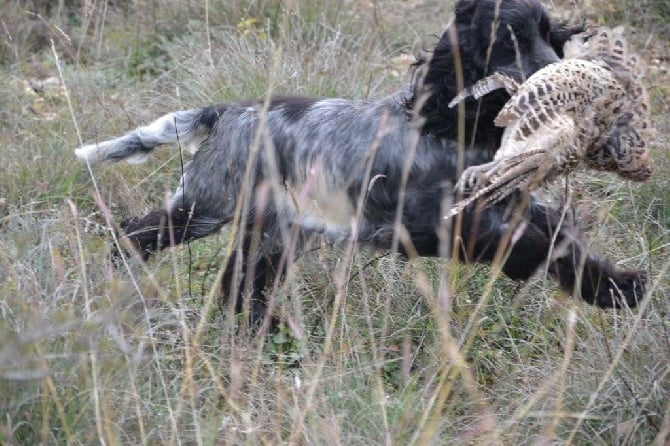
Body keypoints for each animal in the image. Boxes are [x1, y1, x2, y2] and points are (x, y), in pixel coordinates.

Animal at [76, 0, 648, 322]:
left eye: (549, 33)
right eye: (508, 37)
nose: (563, 76)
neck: (447, 122)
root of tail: (227, 111)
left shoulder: (504, 204)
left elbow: (560, 236)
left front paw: (617, 288)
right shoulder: (431, 224)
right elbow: (534, 243)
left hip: (275, 231)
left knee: (243, 282)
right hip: (207, 205)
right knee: (138, 232)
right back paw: (114, 278)